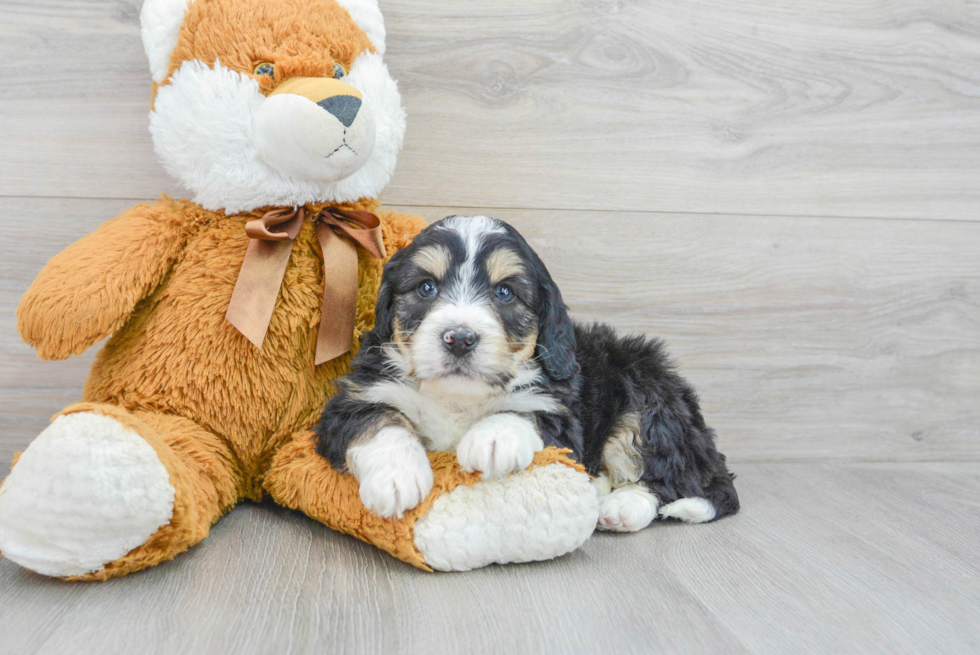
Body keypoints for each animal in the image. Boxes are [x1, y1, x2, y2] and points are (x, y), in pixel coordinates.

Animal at [318, 215, 740, 532]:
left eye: (504, 293)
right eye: (425, 288)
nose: (460, 339)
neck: (459, 397)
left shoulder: (562, 413)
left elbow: (525, 411)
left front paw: (493, 439)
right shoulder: (353, 399)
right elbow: (379, 421)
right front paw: (397, 477)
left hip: (647, 395)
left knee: (668, 479)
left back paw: (620, 507)